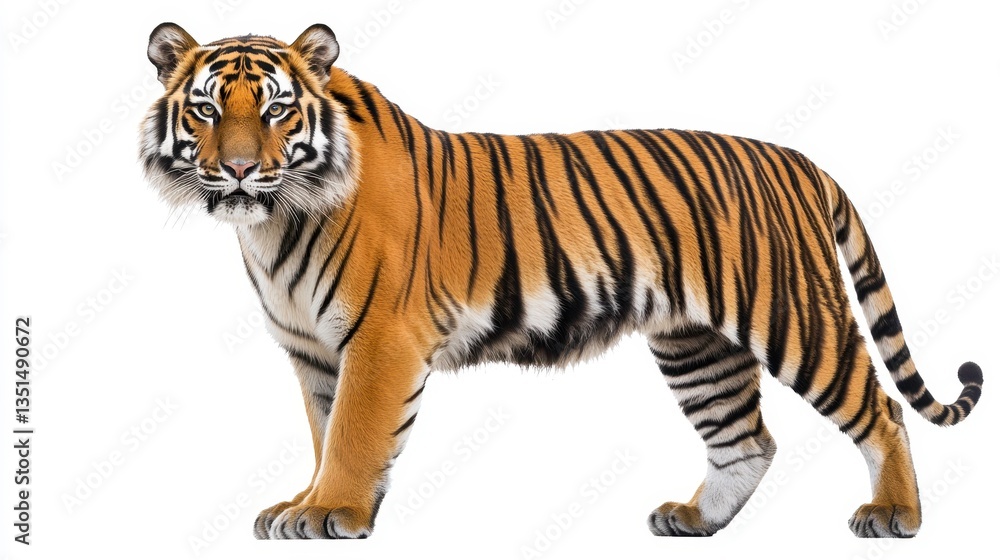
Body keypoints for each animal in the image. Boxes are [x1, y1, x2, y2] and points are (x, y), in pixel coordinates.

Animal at [139, 22, 983, 540]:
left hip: (794, 318)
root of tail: (799, 159)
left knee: (881, 411)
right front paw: (310, 504)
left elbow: (351, 433)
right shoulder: (315, 350)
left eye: (276, 111)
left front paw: (331, 512)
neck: (275, 221)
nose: (240, 168)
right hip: (695, 343)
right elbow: (324, 431)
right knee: (747, 437)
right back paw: (695, 520)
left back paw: (894, 515)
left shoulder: (378, 340)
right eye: (208, 110)